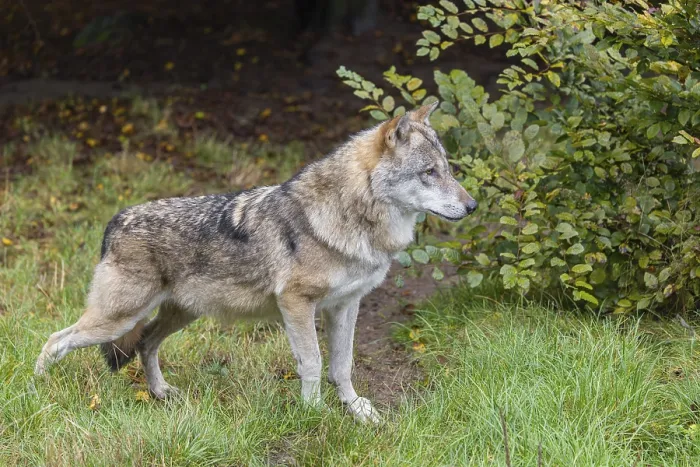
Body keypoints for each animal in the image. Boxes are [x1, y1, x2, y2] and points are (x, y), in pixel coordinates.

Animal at [34, 102, 477, 423]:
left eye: (448, 170)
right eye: (429, 172)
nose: (472, 206)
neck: (349, 217)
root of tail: (115, 220)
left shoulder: (346, 305)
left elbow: (343, 365)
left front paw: (357, 411)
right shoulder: (296, 304)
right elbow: (313, 364)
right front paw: (314, 415)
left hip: (178, 315)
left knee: (144, 344)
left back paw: (161, 393)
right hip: (116, 319)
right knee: (54, 340)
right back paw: (37, 391)